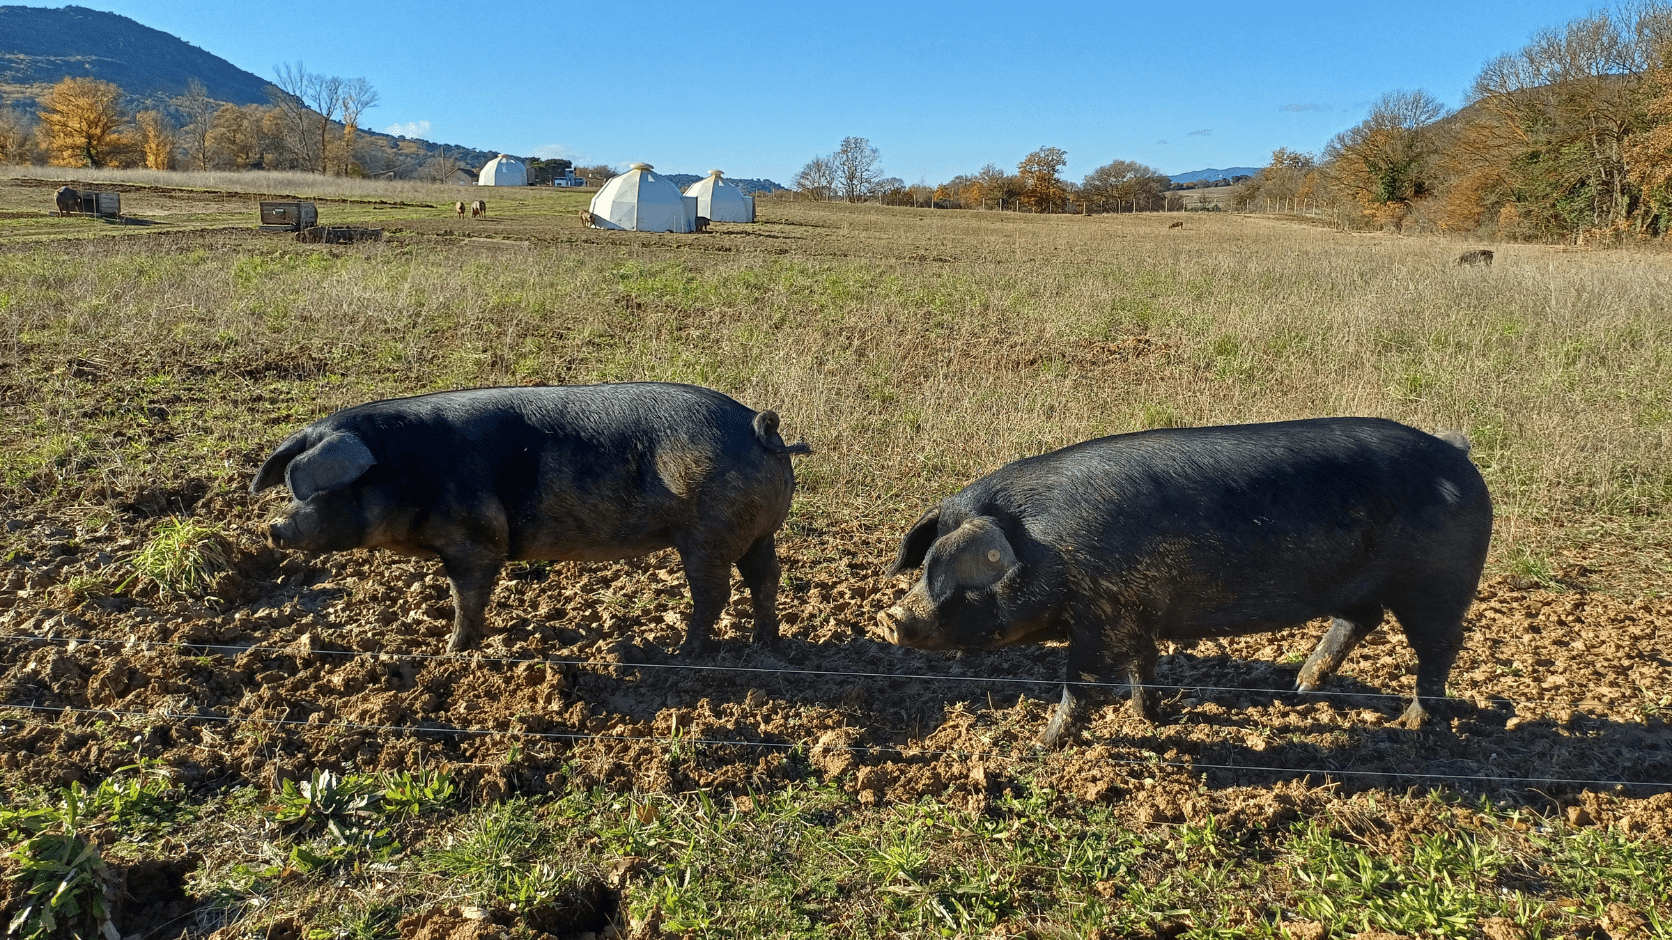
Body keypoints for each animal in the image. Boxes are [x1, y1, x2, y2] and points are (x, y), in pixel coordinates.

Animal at [249, 381, 815, 652]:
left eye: (321, 490)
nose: (273, 528)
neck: (405, 470)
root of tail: (760, 428)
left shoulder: (476, 540)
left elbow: (468, 597)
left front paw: (450, 652)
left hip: (708, 532)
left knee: (715, 592)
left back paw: (680, 654)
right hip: (757, 530)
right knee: (765, 577)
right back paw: (765, 644)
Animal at [882, 416, 1498, 745]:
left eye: (955, 573)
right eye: (926, 563)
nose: (891, 616)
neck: (1049, 548)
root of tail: (1458, 454)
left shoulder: (1102, 617)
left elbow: (1080, 683)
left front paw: (1040, 744)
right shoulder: (1135, 611)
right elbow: (1144, 666)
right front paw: (1148, 717)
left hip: (1439, 585)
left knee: (1441, 647)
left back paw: (1411, 725)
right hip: (1366, 586)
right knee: (1358, 620)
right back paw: (1298, 691)